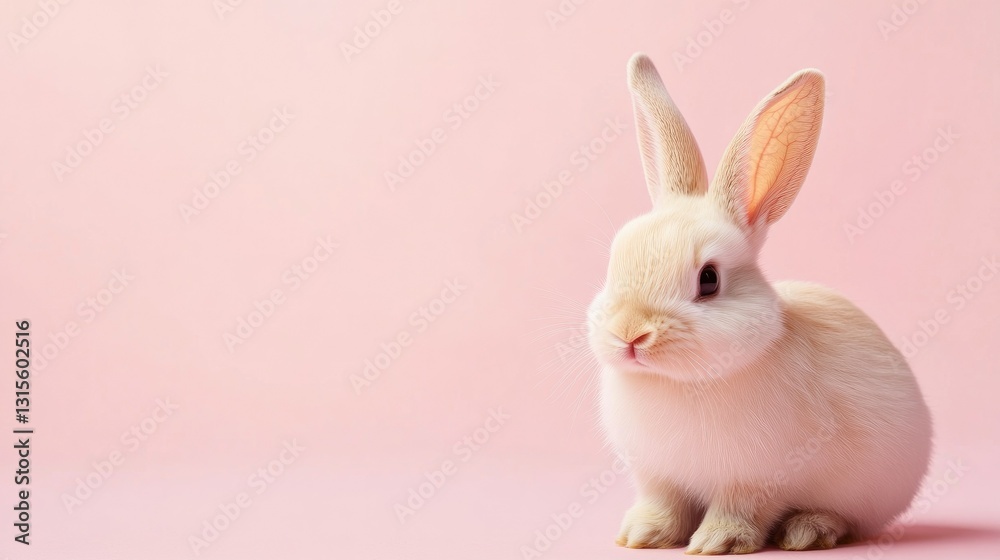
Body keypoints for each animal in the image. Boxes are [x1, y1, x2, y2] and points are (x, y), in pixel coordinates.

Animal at [586, 53, 933, 554]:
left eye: (709, 280)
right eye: (614, 261)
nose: (630, 333)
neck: (680, 383)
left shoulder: (758, 479)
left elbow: (742, 509)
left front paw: (717, 543)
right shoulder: (657, 476)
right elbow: (663, 504)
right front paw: (641, 535)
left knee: (847, 519)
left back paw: (809, 530)